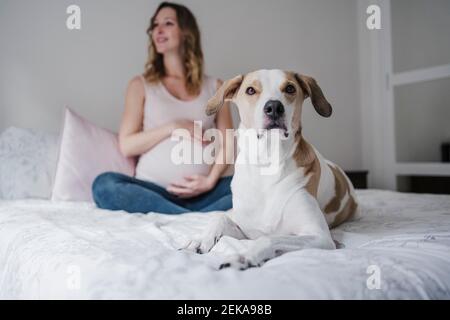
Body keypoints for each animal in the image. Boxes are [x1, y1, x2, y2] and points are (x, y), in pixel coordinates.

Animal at [182, 70, 358, 270]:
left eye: (290, 88)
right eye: (250, 90)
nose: (274, 107)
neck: (266, 164)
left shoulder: (320, 236)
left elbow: (269, 239)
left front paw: (243, 256)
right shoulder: (245, 228)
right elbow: (220, 217)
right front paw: (200, 239)